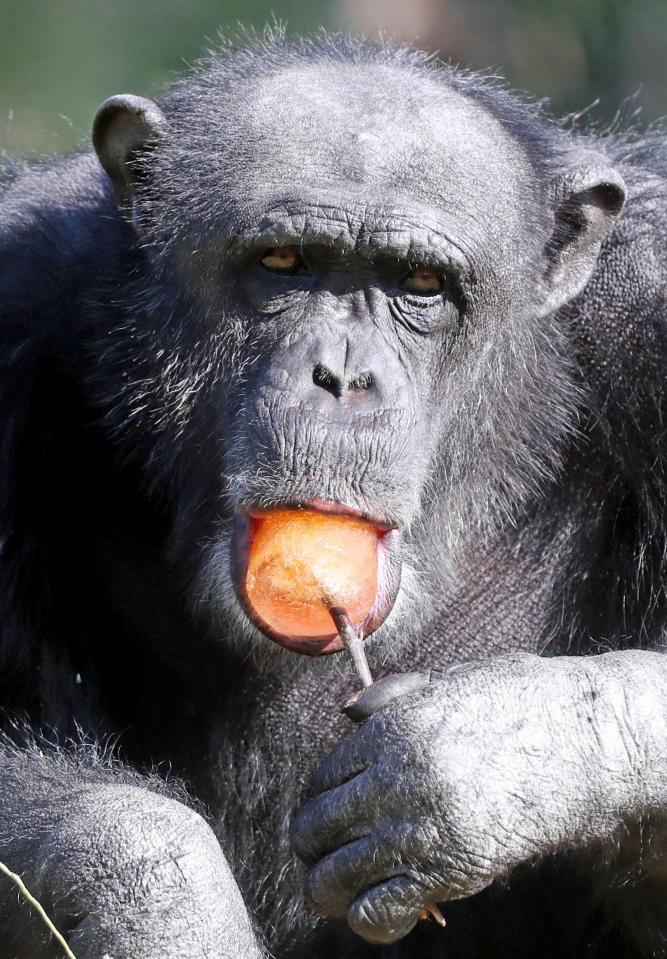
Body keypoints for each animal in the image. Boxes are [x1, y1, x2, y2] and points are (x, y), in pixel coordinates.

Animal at [1, 30, 667, 959]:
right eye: (284, 264)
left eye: (420, 284)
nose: (341, 377)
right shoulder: (15, 294)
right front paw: (164, 899)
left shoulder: (653, 311)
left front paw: (473, 760)